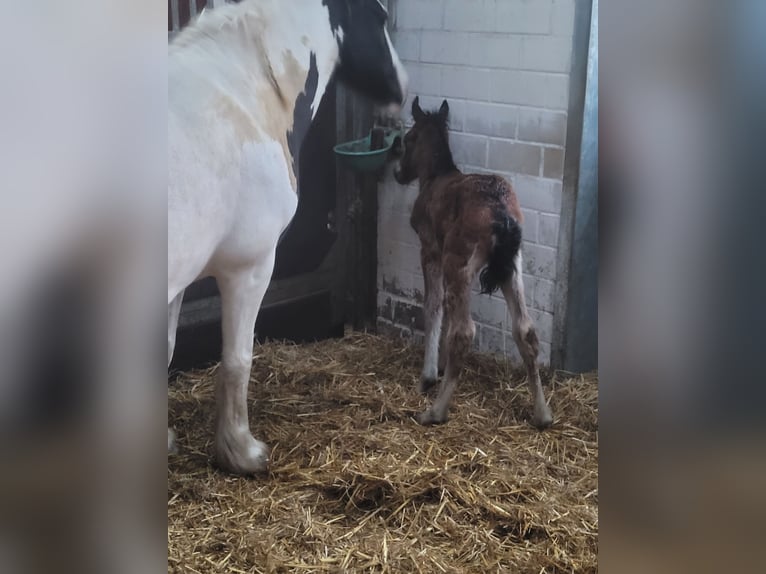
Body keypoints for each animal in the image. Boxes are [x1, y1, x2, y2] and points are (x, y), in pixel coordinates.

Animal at [168, 0, 408, 476]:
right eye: (380, 17)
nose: (402, 88)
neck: (243, 95)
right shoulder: (250, 267)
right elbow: (237, 360)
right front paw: (241, 452)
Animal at [396, 99, 552, 430]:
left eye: (407, 138)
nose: (398, 173)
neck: (435, 178)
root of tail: (500, 215)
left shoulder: (430, 250)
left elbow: (433, 306)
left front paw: (429, 375)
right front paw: (441, 367)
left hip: (459, 262)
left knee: (464, 331)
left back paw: (435, 411)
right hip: (513, 267)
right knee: (526, 330)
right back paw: (543, 414)